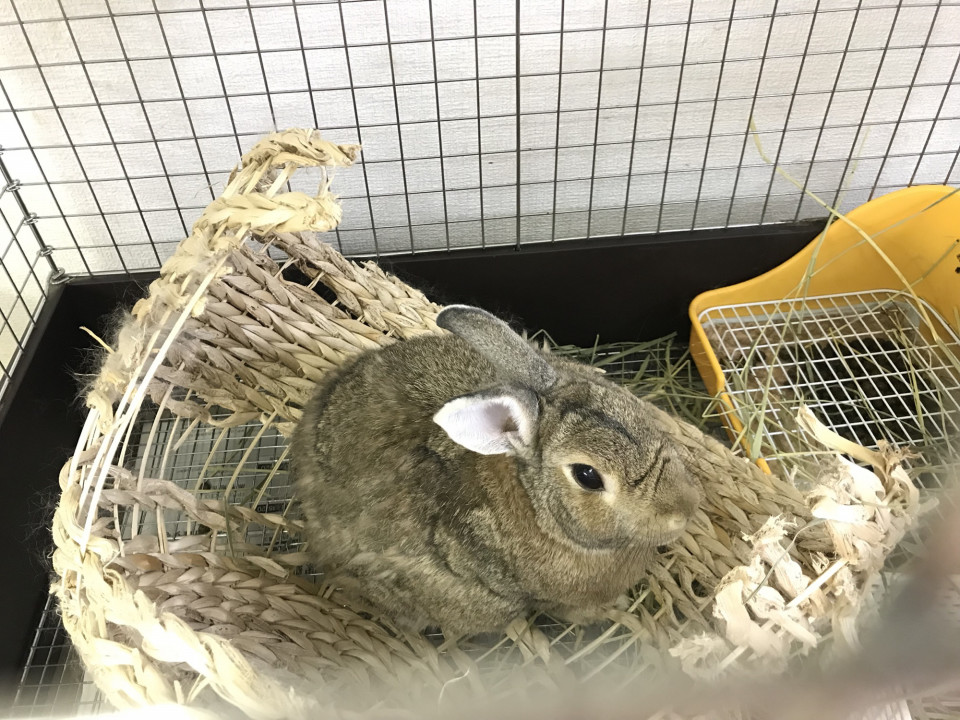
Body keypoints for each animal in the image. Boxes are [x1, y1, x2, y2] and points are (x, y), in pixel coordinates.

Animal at [289, 304, 702, 637]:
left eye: (632, 408)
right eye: (587, 476)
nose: (683, 509)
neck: (541, 509)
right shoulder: (554, 599)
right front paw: (616, 611)